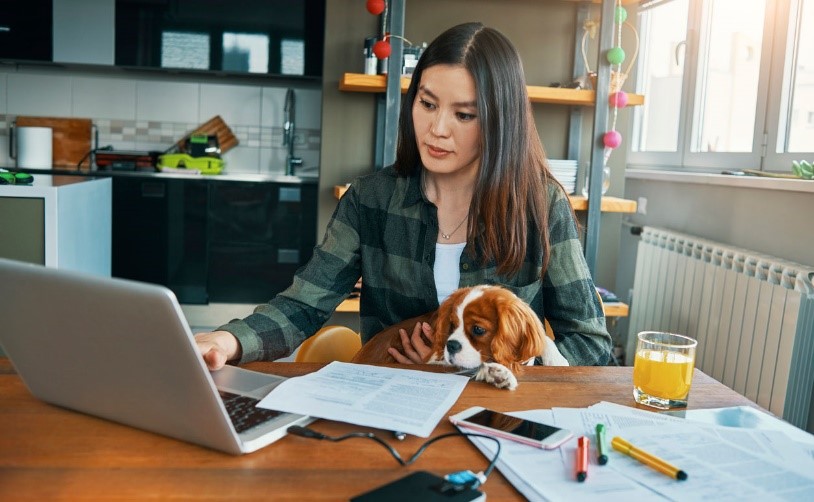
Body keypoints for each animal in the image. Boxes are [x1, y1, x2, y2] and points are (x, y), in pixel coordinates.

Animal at [354, 286, 572, 388]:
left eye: (477, 330)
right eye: (452, 325)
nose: (450, 345)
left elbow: (543, 335)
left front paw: (556, 360)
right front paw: (498, 374)